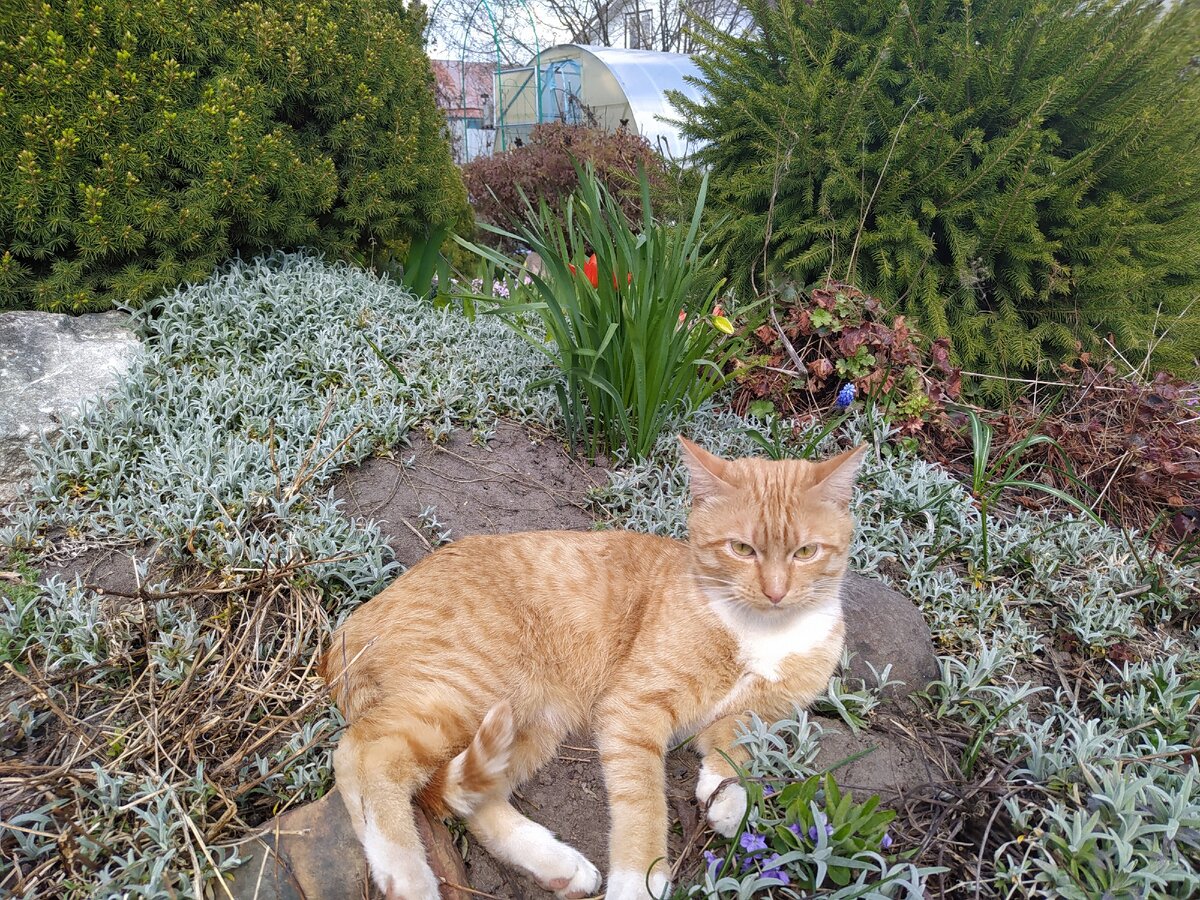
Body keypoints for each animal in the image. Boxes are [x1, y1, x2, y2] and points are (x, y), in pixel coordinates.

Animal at [319, 434, 864, 897]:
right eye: (742, 549)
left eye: (806, 551)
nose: (775, 592)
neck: (761, 631)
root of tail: (352, 623)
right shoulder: (634, 710)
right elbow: (643, 804)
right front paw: (640, 881)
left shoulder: (763, 713)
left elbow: (737, 742)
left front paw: (727, 798)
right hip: (469, 688)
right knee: (363, 755)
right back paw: (406, 877)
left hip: (528, 722)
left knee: (469, 800)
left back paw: (558, 866)